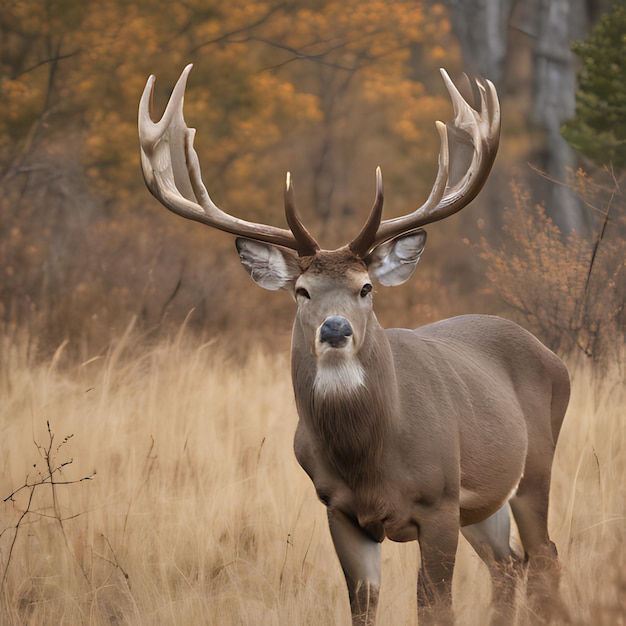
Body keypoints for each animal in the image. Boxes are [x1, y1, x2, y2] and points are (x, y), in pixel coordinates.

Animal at [139, 66, 568, 620]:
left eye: (366, 287)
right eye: (302, 291)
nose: (336, 328)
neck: (369, 458)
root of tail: (550, 355)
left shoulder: (439, 502)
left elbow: (435, 607)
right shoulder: (338, 508)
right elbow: (362, 605)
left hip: (535, 465)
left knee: (544, 554)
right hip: (483, 502)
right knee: (509, 563)